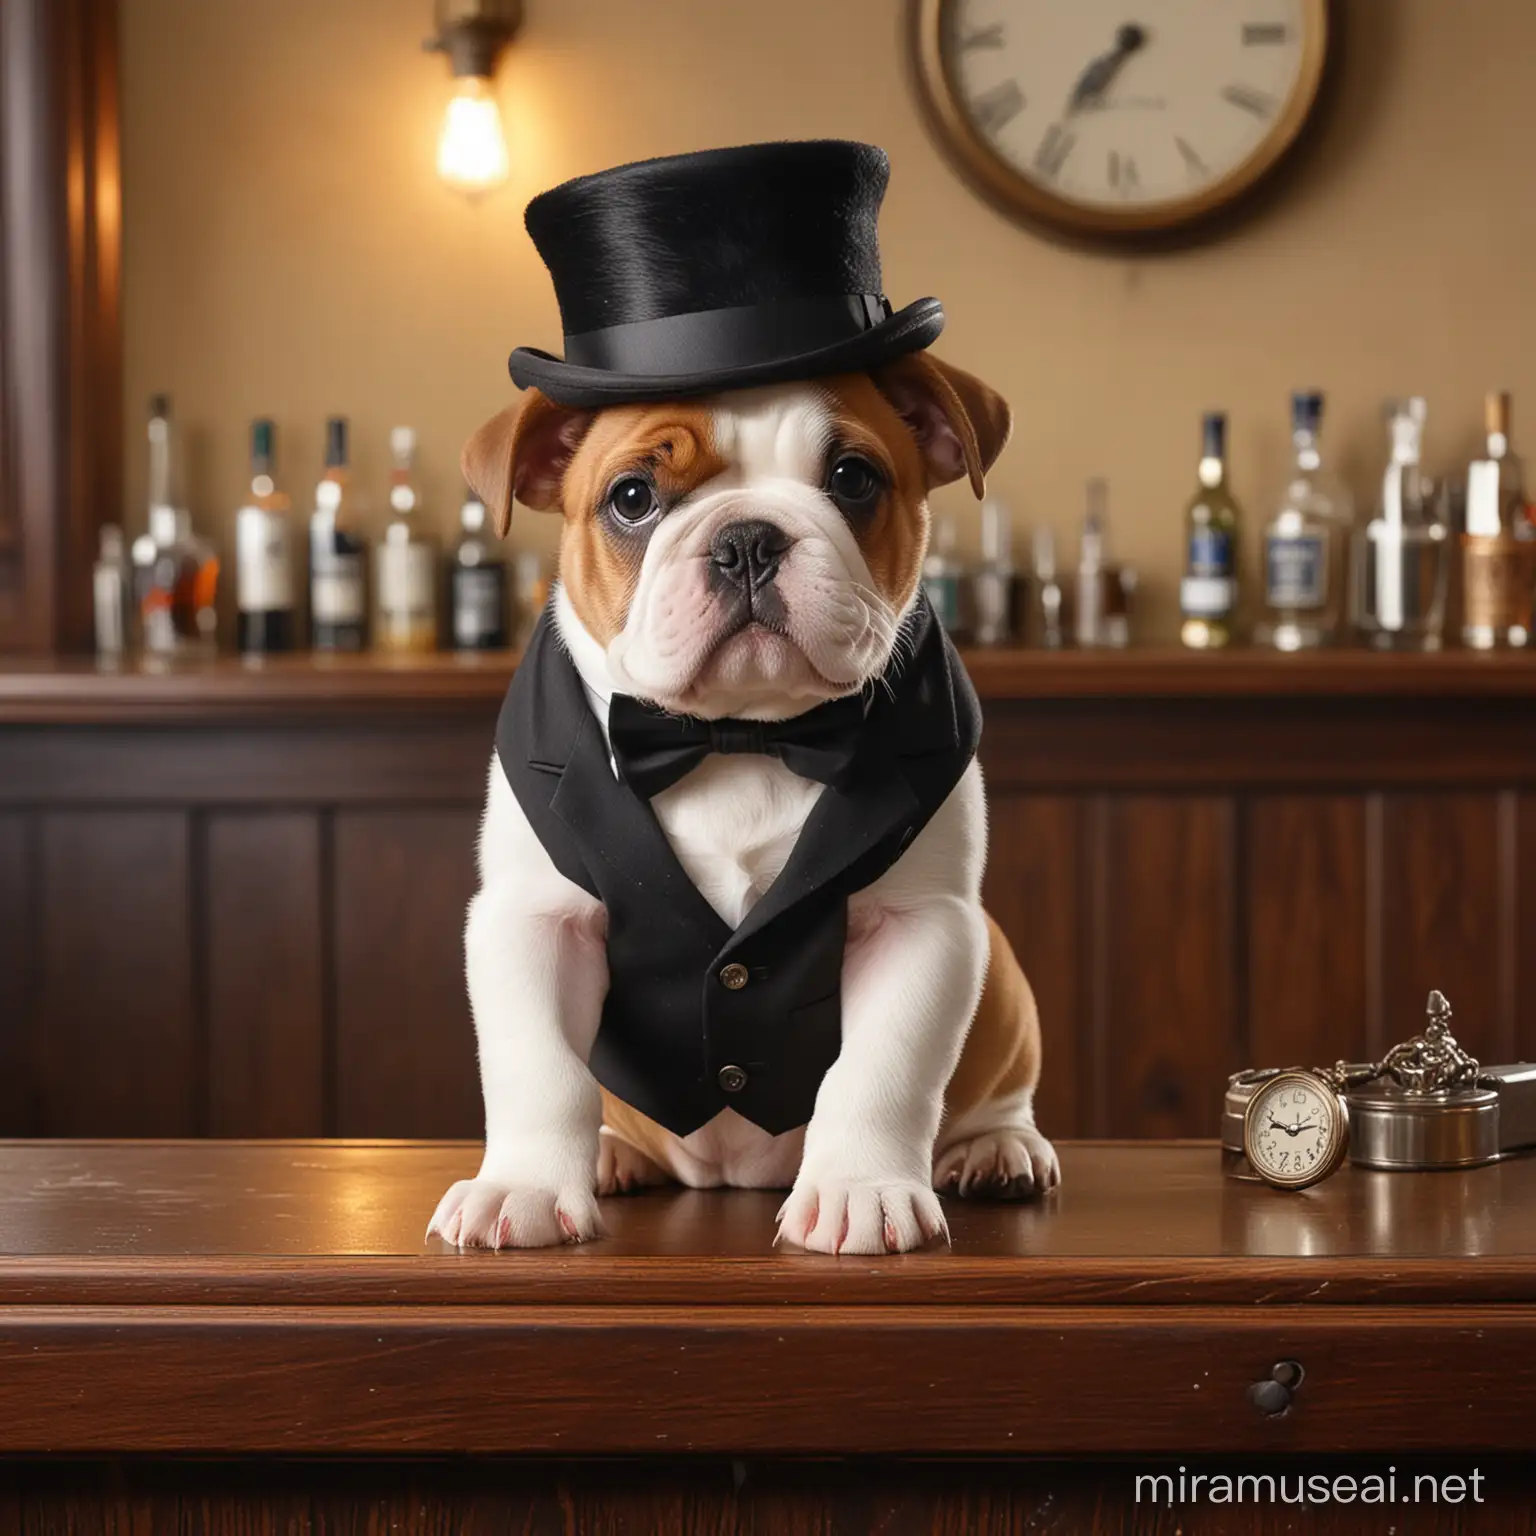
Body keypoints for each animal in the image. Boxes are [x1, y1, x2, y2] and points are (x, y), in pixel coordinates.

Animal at [430, 353, 1056, 1253]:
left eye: (853, 478)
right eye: (631, 497)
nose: (747, 539)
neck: (739, 736)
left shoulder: (922, 925)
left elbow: (883, 1070)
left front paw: (861, 1190)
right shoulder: (534, 919)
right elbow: (538, 1069)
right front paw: (521, 1187)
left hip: (1000, 969)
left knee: (997, 1089)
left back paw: (998, 1147)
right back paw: (613, 1153)